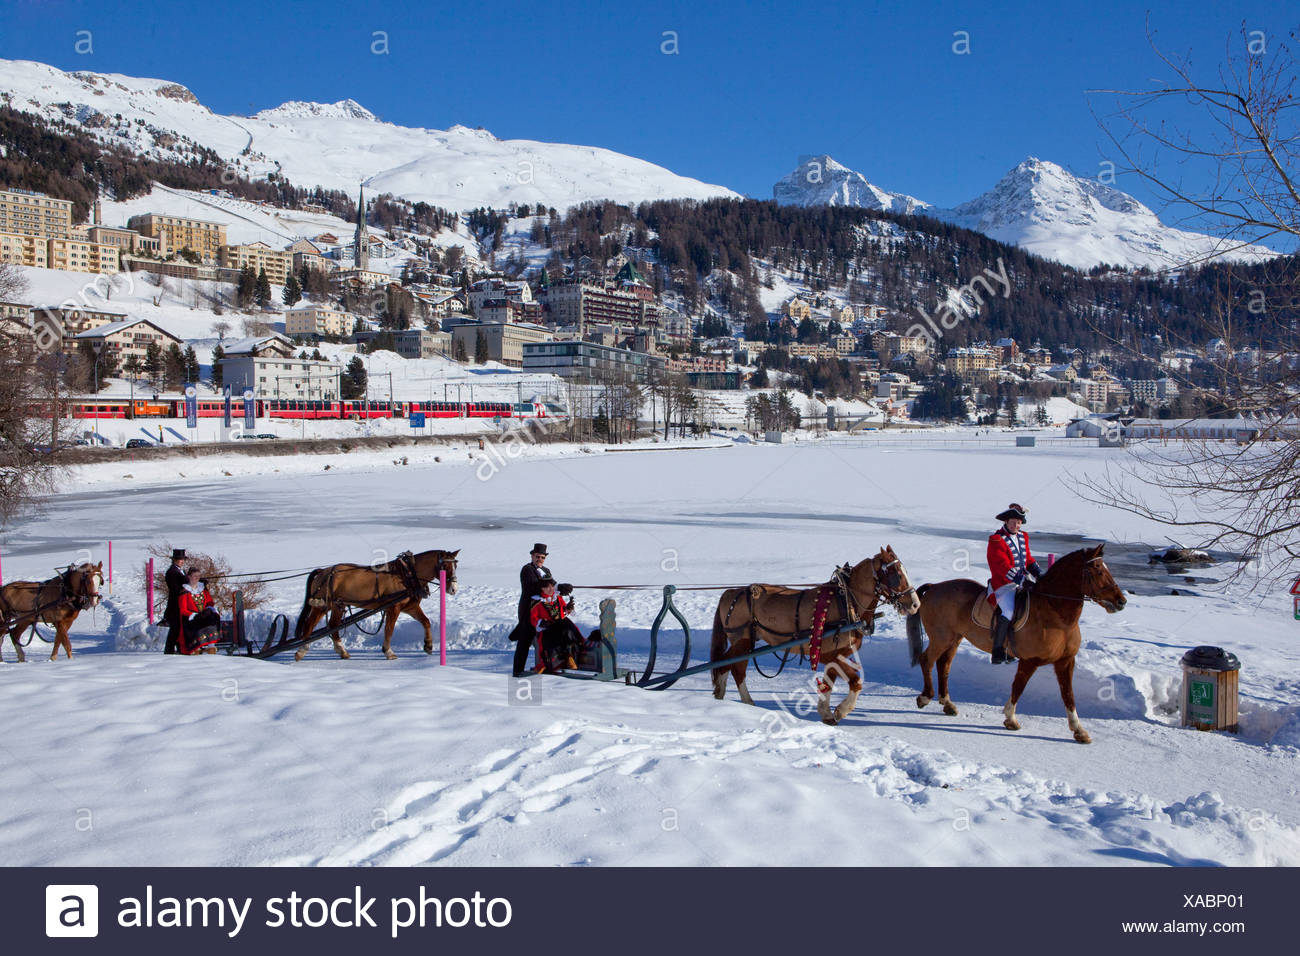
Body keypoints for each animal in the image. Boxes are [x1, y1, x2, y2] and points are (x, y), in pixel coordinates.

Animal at [292, 549, 459, 661]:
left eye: (455, 566)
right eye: (444, 567)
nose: (454, 589)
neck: (407, 574)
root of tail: (323, 571)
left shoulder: (410, 607)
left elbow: (426, 622)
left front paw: (428, 645)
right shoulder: (394, 608)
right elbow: (389, 630)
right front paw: (388, 652)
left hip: (337, 606)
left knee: (332, 626)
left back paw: (342, 651)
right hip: (323, 605)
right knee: (310, 625)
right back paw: (302, 650)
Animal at [710, 546, 920, 725]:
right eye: (897, 574)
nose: (915, 604)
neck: (847, 602)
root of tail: (730, 592)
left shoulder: (835, 656)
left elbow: (828, 683)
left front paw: (827, 714)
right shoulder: (832, 655)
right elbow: (856, 681)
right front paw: (841, 710)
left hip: (746, 643)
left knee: (730, 666)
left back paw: (731, 699)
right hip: (742, 642)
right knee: (729, 666)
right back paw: (733, 701)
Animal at [905, 544, 1126, 743]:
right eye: (1098, 570)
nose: (1121, 601)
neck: (1055, 614)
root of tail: (935, 587)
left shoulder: (1065, 661)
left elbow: (1068, 695)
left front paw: (1079, 730)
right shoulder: (1030, 661)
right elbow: (1018, 687)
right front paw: (1010, 718)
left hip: (954, 639)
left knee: (944, 665)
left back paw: (947, 703)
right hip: (941, 638)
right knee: (927, 660)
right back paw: (925, 697)